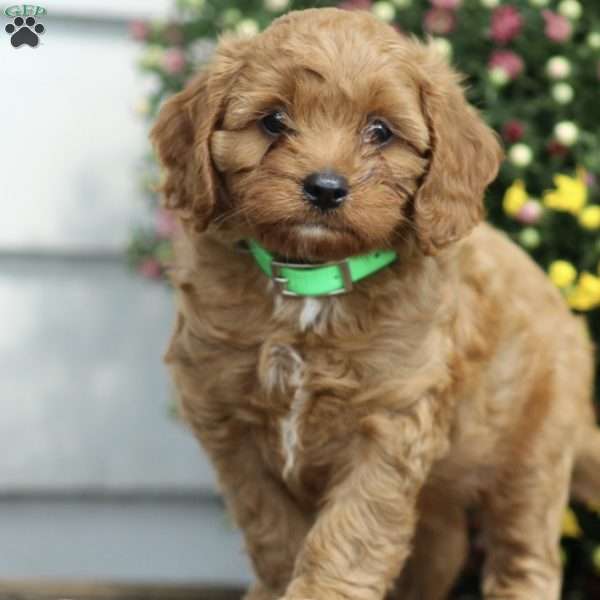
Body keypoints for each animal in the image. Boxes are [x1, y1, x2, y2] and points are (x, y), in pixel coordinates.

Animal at [151, 5, 600, 600]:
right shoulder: (229, 424)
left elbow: (348, 537)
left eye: (380, 131)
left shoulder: (388, 427)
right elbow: (272, 530)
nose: (325, 188)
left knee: (524, 557)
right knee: (442, 545)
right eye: (273, 121)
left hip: (533, 457)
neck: (313, 287)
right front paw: (278, 584)